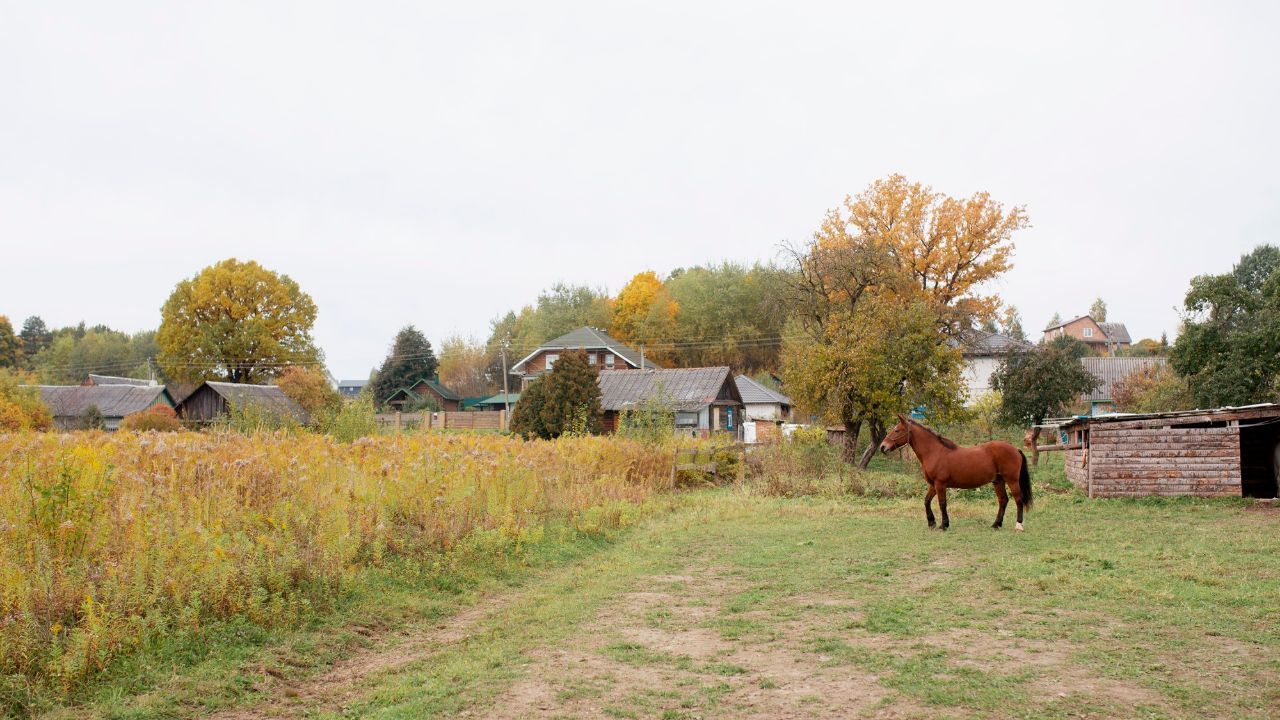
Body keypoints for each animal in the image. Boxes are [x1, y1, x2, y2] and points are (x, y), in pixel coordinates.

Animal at [880, 412, 1029, 530]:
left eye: (897, 430)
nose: (882, 447)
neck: (934, 452)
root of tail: (1015, 449)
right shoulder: (933, 485)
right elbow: (926, 501)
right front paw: (931, 522)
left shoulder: (940, 484)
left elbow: (942, 504)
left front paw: (943, 525)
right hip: (998, 481)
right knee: (1003, 500)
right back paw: (996, 524)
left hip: (1012, 480)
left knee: (1018, 499)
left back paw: (1018, 525)